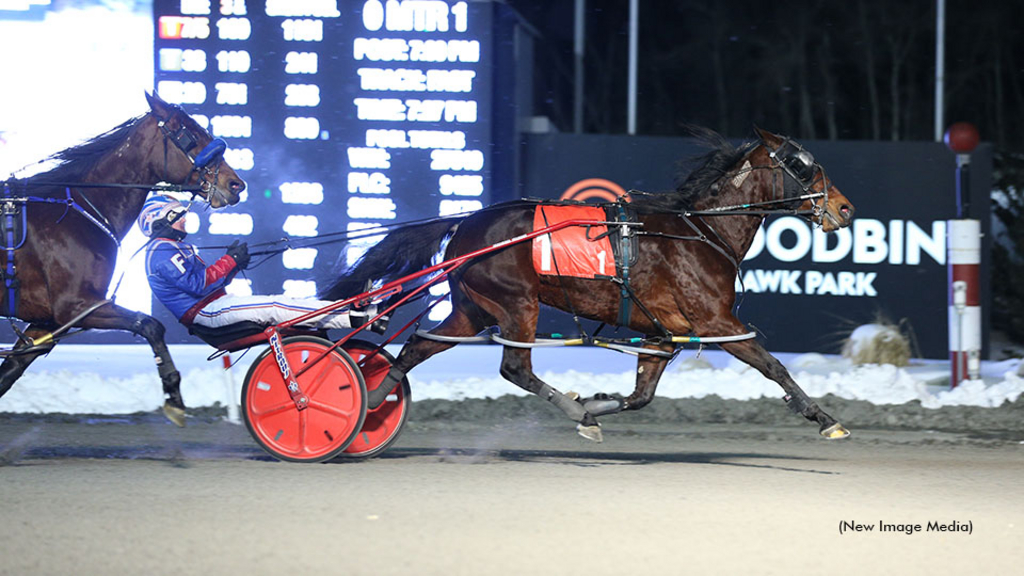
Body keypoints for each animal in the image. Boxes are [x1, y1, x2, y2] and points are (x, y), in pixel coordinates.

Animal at [0, 90, 243, 422]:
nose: (235, 184)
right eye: (188, 134)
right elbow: (150, 324)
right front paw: (173, 394)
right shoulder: (77, 306)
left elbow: (11, 369)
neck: (79, 211)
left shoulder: (49, 320)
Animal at [321, 125, 856, 438]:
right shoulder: (717, 322)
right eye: (803, 165)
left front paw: (597, 403)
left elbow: (641, 396)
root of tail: (467, 222)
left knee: (418, 346)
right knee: (514, 369)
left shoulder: (660, 334)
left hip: (471, 308)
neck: (700, 232)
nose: (845, 207)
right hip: (518, 305)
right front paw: (825, 419)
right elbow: (774, 367)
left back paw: (372, 401)